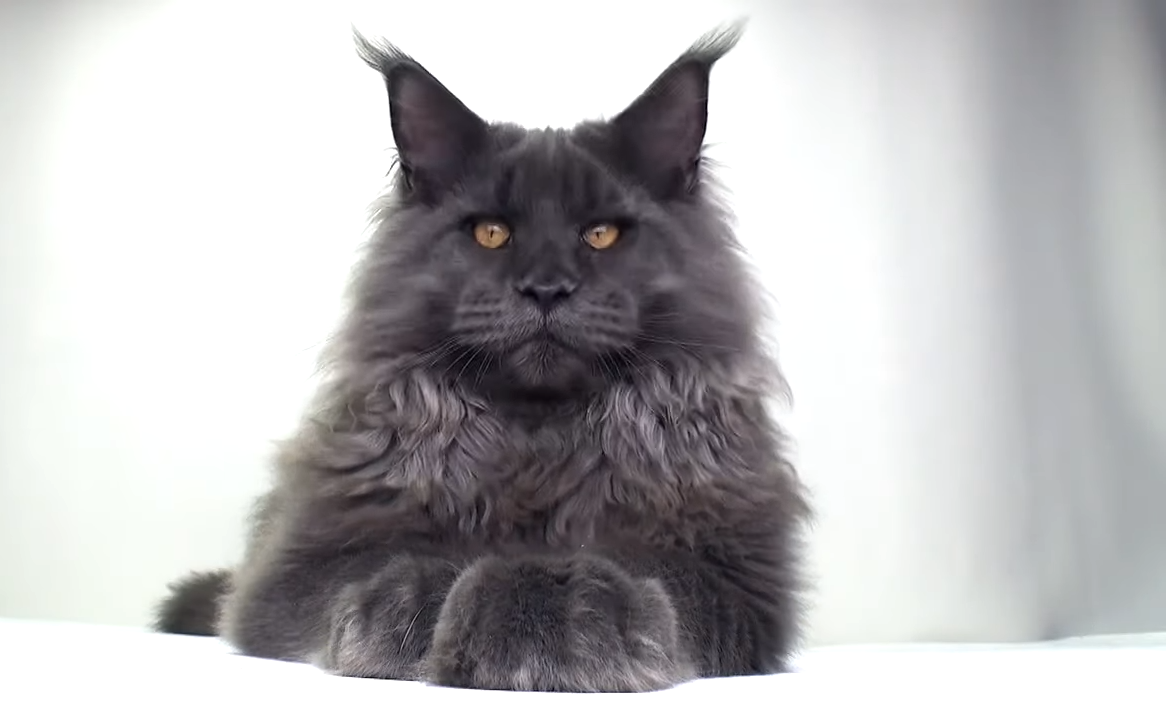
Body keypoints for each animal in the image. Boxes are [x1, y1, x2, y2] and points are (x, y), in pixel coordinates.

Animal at [154, 21, 811, 693]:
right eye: (491, 233)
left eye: (601, 234)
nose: (546, 287)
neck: (538, 441)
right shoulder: (298, 567)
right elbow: (377, 568)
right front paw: (419, 607)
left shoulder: (733, 575)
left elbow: (647, 573)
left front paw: (545, 604)